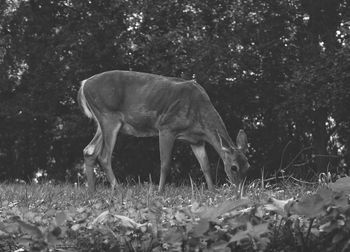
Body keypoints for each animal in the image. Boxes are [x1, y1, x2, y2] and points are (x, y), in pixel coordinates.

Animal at [78, 71, 250, 193]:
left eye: (248, 166)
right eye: (234, 167)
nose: (240, 192)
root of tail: (84, 84)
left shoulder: (196, 140)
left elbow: (206, 166)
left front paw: (212, 191)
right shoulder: (166, 127)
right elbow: (165, 164)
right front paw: (160, 191)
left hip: (102, 121)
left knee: (89, 150)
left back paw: (92, 192)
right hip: (109, 116)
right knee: (104, 156)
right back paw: (118, 188)